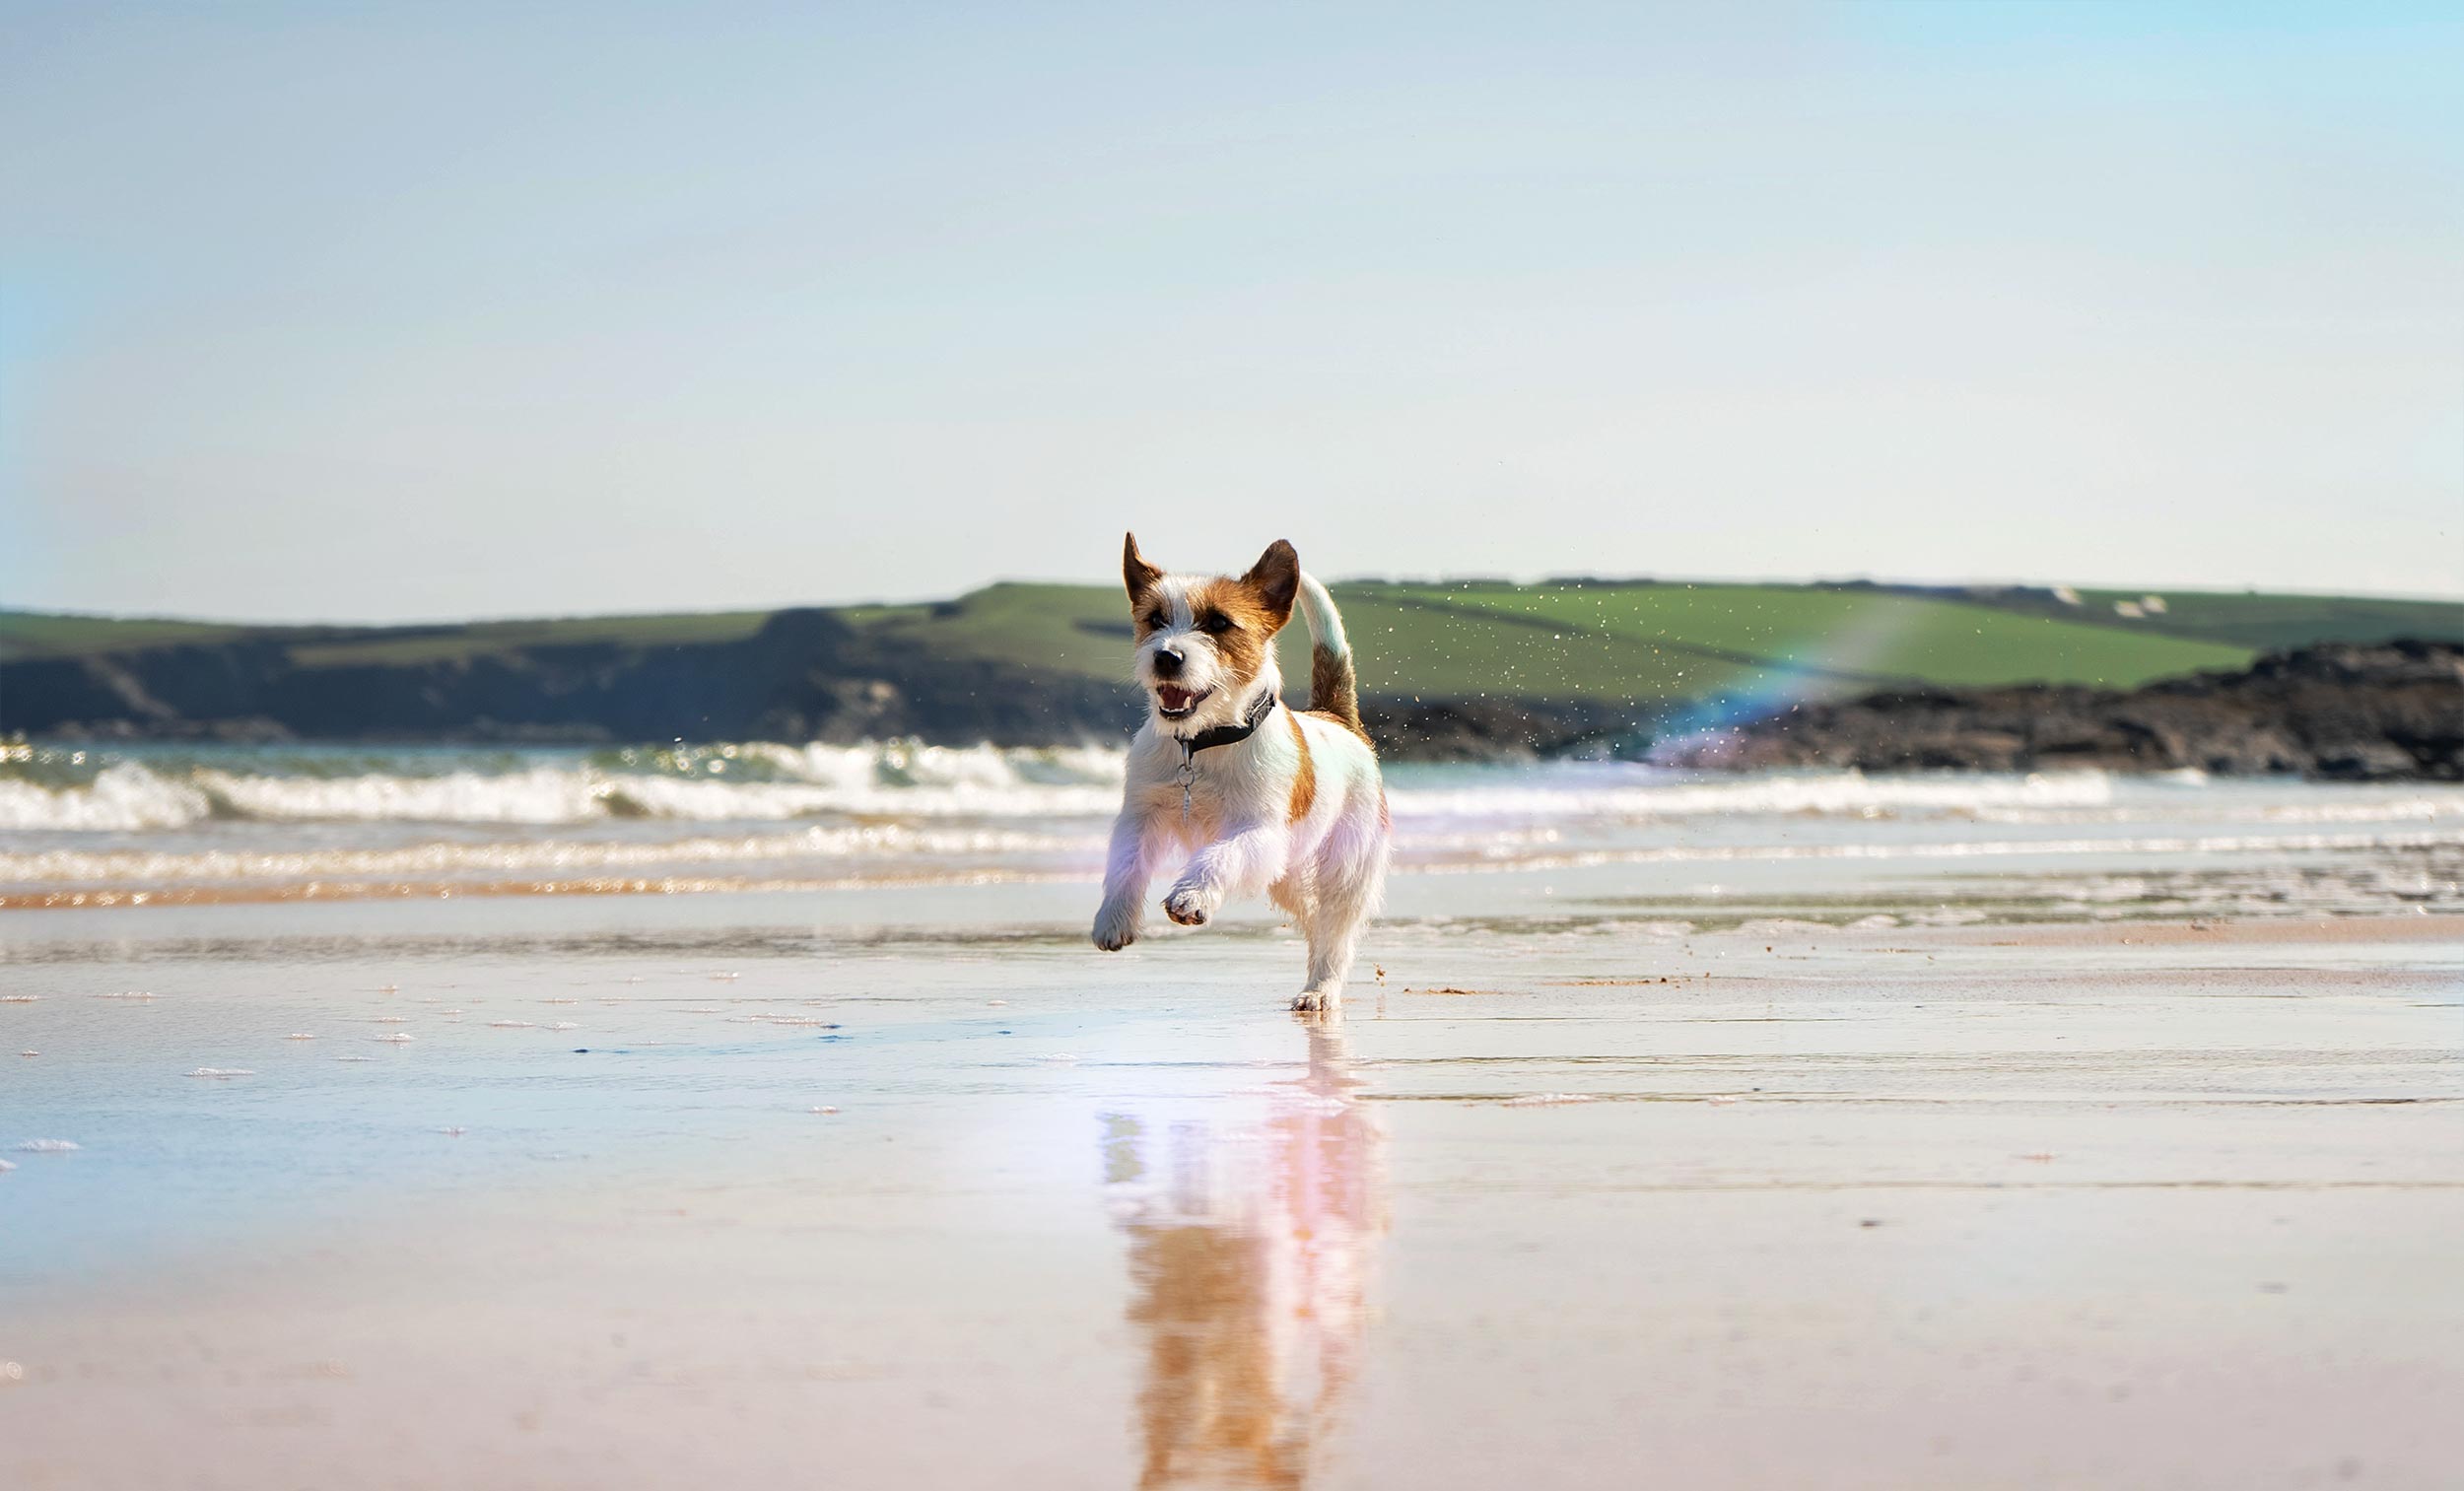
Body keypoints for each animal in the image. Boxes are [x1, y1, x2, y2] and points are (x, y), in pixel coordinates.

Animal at [1094, 534, 1390, 1010]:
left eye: (1219, 623)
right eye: (1155, 618)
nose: (1166, 656)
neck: (1202, 745)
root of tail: (1338, 719)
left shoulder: (1259, 833)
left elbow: (1219, 855)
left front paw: (1190, 896)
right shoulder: (1139, 815)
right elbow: (1124, 864)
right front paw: (1113, 919)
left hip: (1346, 869)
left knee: (1336, 931)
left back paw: (1320, 990)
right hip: (1288, 876)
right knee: (1315, 919)